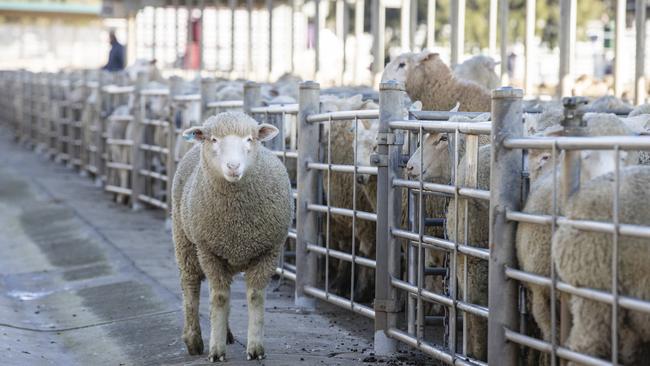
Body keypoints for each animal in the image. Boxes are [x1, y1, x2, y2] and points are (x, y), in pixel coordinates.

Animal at [172, 113, 294, 362]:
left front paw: (255, 348)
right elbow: (219, 298)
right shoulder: (208, 251)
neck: (237, 225)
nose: (233, 166)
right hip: (186, 242)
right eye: (214, 140)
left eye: (249, 139)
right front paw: (216, 351)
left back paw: (225, 334)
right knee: (191, 286)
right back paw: (194, 339)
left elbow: (254, 297)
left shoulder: (268, 251)